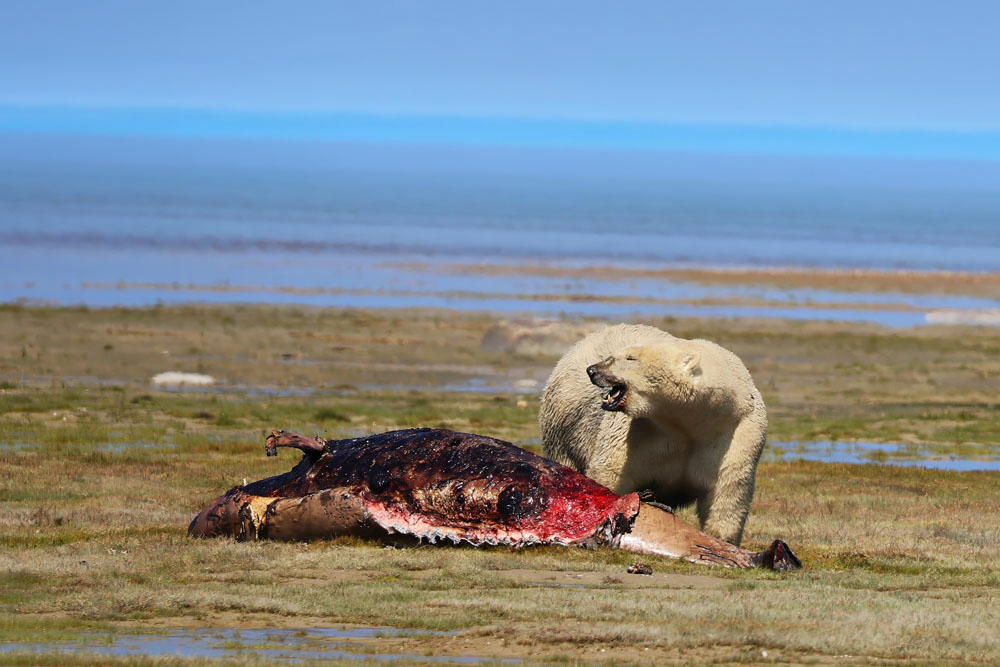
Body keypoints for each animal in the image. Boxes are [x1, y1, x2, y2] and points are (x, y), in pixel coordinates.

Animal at [540, 324, 764, 548]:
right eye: (617, 354)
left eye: (630, 358)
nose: (592, 370)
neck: (690, 422)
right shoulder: (639, 431)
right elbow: (613, 472)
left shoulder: (735, 433)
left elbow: (728, 492)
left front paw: (721, 540)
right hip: (563, 425)